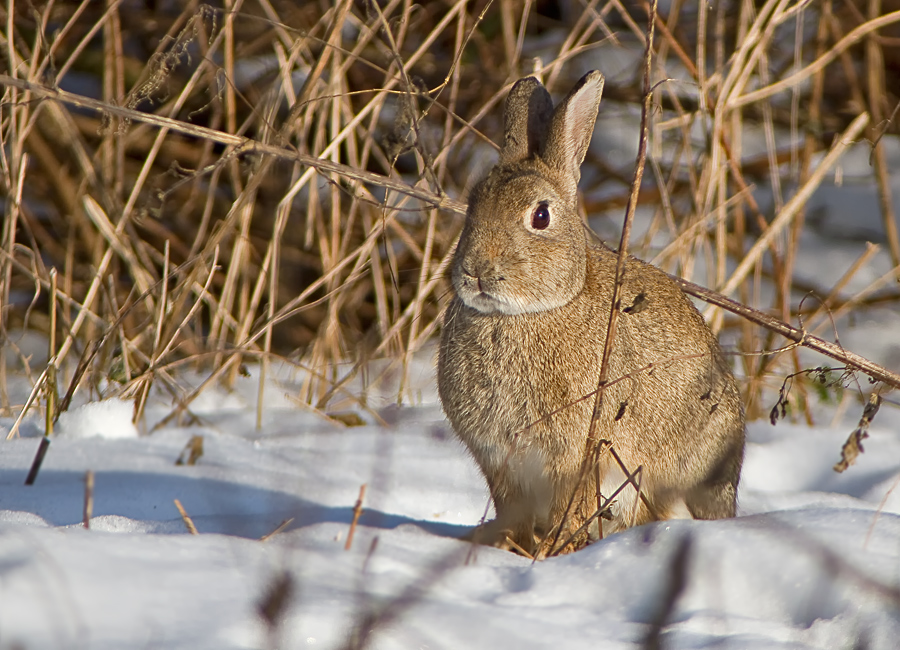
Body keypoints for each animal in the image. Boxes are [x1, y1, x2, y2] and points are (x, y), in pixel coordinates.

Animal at [438, 71, 744, 556]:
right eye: (472, 205)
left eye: (540, 216)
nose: (475, 271)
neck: (523, 314)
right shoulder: (502, 466)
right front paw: (508, 546)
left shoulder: (578, 456)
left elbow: (574, 506)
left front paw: (554, 549)